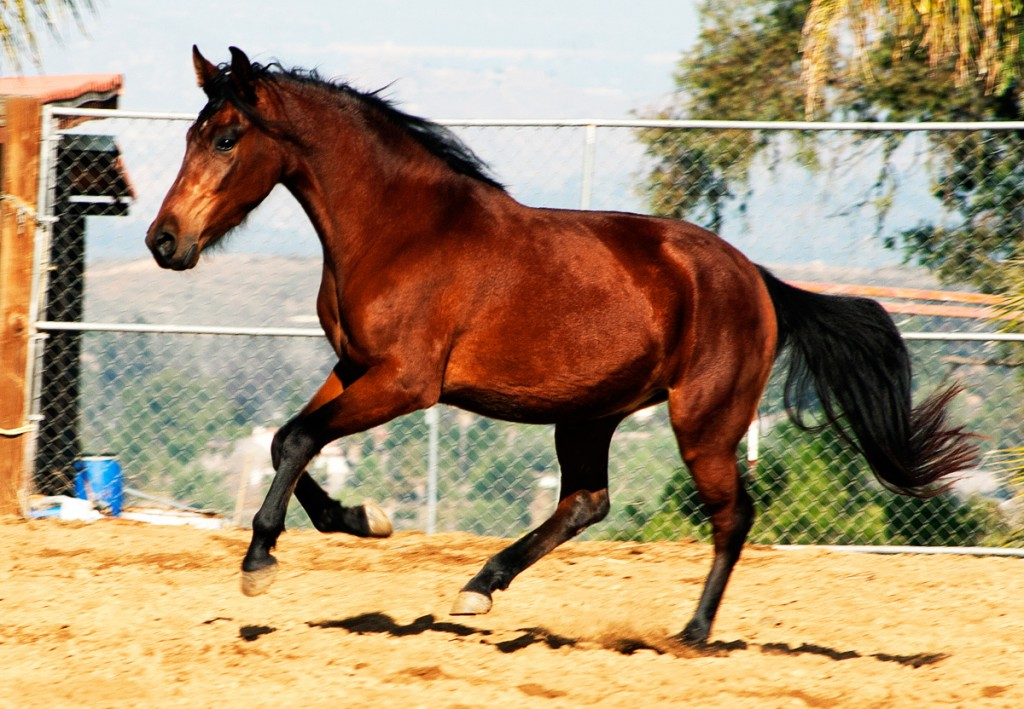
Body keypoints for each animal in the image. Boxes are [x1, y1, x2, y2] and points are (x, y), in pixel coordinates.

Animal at [146, 46, 977, 645]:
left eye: (225, 137)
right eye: (189, 136)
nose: (163, 241)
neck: (400, 229)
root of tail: (757, 280)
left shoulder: (406, 381)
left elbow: (299, 438)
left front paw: (259, 562)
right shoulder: (354, 367)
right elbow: (292, 437)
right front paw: (365, 518)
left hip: (702, 422)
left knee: (731, 516)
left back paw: (692, 631)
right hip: (589, 412)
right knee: (586, 500)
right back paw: (480, 587)